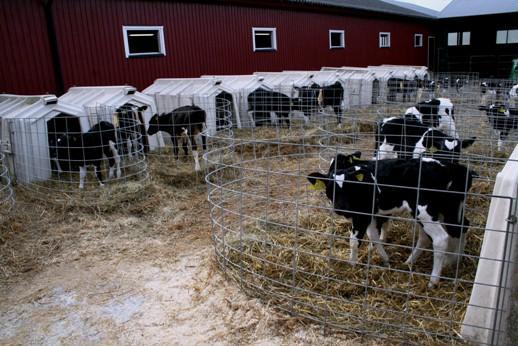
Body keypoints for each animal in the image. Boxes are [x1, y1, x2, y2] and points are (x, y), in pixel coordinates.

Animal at [308, 155, 476, 288]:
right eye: (329, 188)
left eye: (349, 187)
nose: (341, 208)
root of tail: (454, 167)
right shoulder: (371, 214)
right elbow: (374, 236)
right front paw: (384, 259)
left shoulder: (362, 214)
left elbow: (355, 241)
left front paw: (352, 265)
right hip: (448, 208)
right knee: (458, 229)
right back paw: (449, 262)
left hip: (425, 210)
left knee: (440, 238)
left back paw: (433, 280)